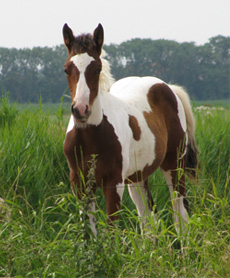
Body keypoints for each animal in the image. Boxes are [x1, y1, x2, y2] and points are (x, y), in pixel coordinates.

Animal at [62, 23, 198, 236]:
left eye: (97, 69)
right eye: (67, 70)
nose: (81, 110)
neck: (91, 136)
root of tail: (169, 87)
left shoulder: (113, 183)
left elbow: (110, 232)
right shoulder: (80, 183)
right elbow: (89, 234)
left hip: (174, 164)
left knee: (179, 214)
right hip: (137, 177)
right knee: (148, 219)